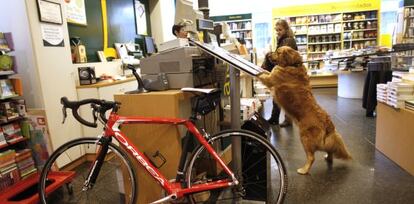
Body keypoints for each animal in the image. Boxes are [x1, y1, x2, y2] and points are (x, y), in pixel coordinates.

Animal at [258, 46, 350, 175]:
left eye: (278, 52)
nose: (269, 54)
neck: (293, 65)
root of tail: (328, 124)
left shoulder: (271, 78)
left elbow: (262, 75)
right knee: (329, 150)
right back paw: (328, 158)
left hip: (305, 138)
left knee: (311, 157)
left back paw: (304, 170)